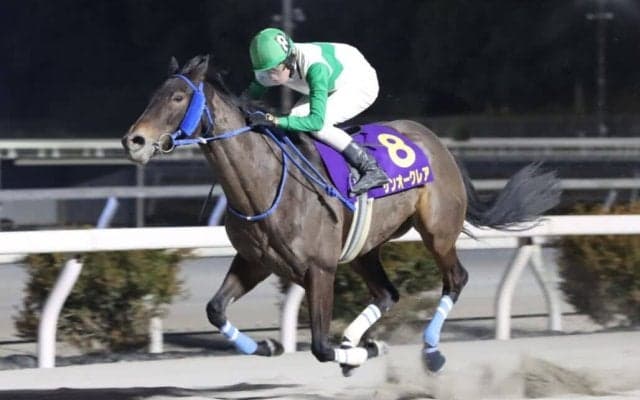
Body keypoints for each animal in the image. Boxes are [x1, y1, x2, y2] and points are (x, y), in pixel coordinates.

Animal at [122, 54, 561, 374]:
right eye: (154, 94)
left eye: (178, 98)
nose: (134, 140)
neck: (264, 184)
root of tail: (437, 142)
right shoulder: (254, 262)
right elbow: (215, 310)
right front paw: (267, 345)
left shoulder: (319, 269)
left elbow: (319, 346)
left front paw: (363, 351)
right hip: (365, 247)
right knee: (387, 294)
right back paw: (358, 341)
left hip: (437, 232)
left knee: (455, 279)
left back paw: (429, 350)